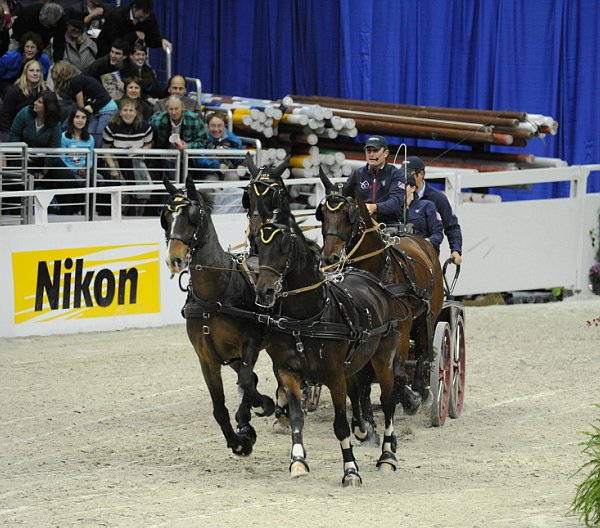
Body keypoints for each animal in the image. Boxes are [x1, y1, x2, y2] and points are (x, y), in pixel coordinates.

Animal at [163, 176, 276, 458]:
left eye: (193, 216)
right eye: (166, 217)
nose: (174, 259)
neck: (214, 295)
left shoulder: (250, 343)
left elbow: (246, 380)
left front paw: (264, 405)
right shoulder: (206, 358)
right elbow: (219, 407)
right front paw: (239, 440)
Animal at [318, 173, 446, 416]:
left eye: (348, 214)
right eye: (322, 215)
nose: (330, 257)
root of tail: (419, 240)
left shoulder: (402, 326)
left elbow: (397, 372)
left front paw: (410, 400)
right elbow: (364, 377)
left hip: (428, 315)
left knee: (424, 351)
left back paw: (421, 390)